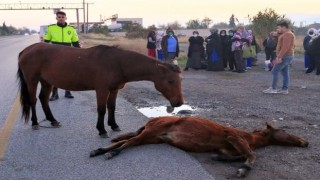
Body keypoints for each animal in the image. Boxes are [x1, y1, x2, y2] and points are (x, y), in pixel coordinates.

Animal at [16, 43, 184, 138]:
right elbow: (102, 109)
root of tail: (26, 50)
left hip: (47, 82)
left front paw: (114, 125)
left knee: (43, 99)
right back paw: (35, 123)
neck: (118, 63)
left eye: (180, 80)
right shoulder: (102, 90)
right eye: (170, 81)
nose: (179, 102)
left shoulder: (114, 90)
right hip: (32, 80)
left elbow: (111, 107)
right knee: (33, 100)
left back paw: (53, 120)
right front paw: (102, 129)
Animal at [90, 116, 310, 178]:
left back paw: (99, 150)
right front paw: (243, 170)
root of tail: (152, 120)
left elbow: (237, 155)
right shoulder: (235, 138)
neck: (250, 137)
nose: (305, 142)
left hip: (153, 137)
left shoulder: (228, 147)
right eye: (285, 131)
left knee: (126, 141)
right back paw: (110, 153)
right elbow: (252, 155)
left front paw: (219, 159)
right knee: (127, 143)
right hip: (151, 132)